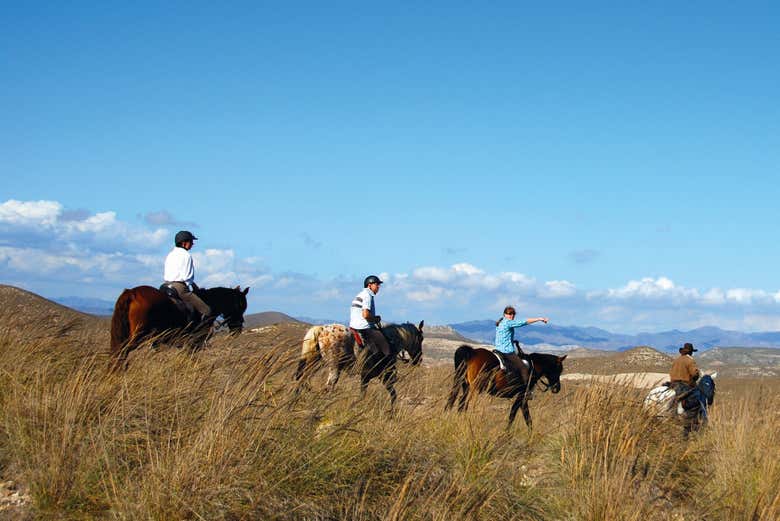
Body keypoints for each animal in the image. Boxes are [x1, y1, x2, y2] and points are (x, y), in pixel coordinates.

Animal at [109, 285, 249, 370]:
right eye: (240, 306)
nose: (238, 329)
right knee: (122, 352)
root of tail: (131, 293)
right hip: (137, 337)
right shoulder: (192, 345)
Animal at [293, 321, 424, 407]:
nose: (419, 360)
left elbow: (364, 394)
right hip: (333, 366)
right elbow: (392, 395)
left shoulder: (367, 377)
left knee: (304, 378)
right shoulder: (383, 377)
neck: (391, 342)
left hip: (315, 361)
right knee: (328, 384)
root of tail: (321, 329)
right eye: (421, 338)